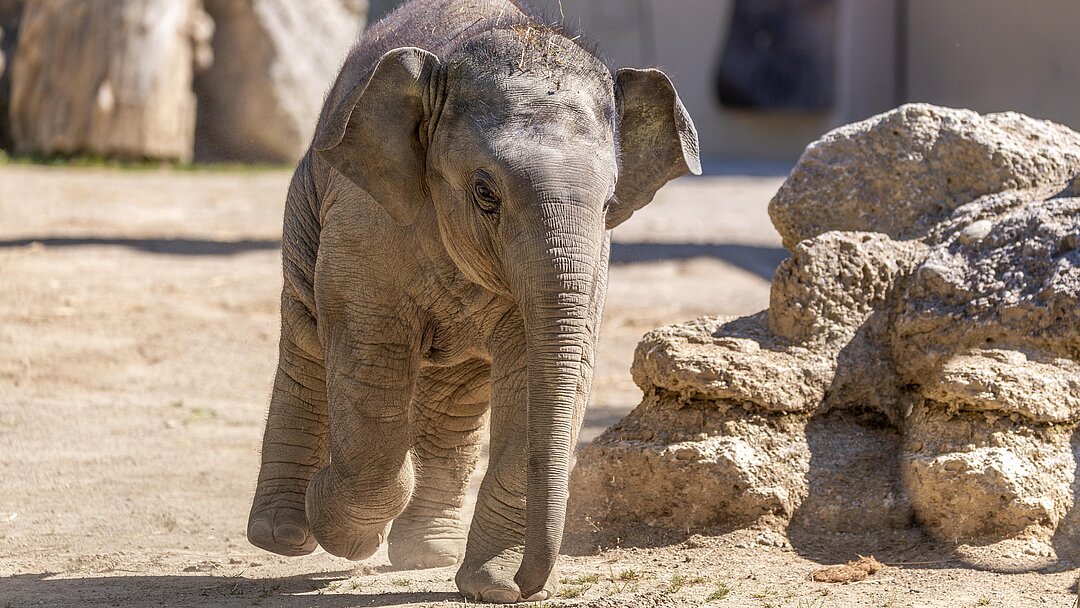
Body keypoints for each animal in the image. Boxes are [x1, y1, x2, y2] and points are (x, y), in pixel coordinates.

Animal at [247, 0, 699, 600]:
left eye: (609, 204)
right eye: (485, 193)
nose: (529, 585)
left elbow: (540, 372)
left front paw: (490, 587)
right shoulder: (364, 217)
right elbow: (369, 349)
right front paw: (342, 529)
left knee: (455, 394)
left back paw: (426, 555)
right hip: (308, 200)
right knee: (306, 340)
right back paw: (284, 536)